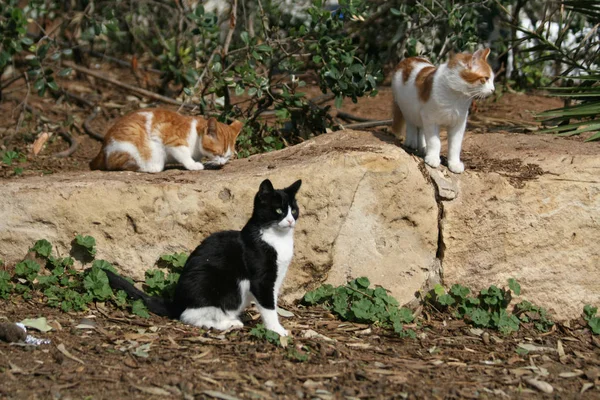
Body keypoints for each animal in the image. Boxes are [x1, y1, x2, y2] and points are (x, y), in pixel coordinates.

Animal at [91, 108, 241, 173]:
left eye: (228, 156)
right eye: (218, 153)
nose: (222, 163)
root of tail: (102, 149)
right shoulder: (172, 141)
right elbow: (184, 155)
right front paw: (193, 164)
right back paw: (151, 167)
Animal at [104, 180, 300, 336]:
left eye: (294, 210)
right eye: (279, 210)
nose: (291, 220)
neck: (277, 239)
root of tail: (176, 302)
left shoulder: (276, 278)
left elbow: (272, 302)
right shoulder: (261, 280)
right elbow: (268, 306)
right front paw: (277, 330)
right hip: (210, 282)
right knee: (189, 316)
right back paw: (228, 323)